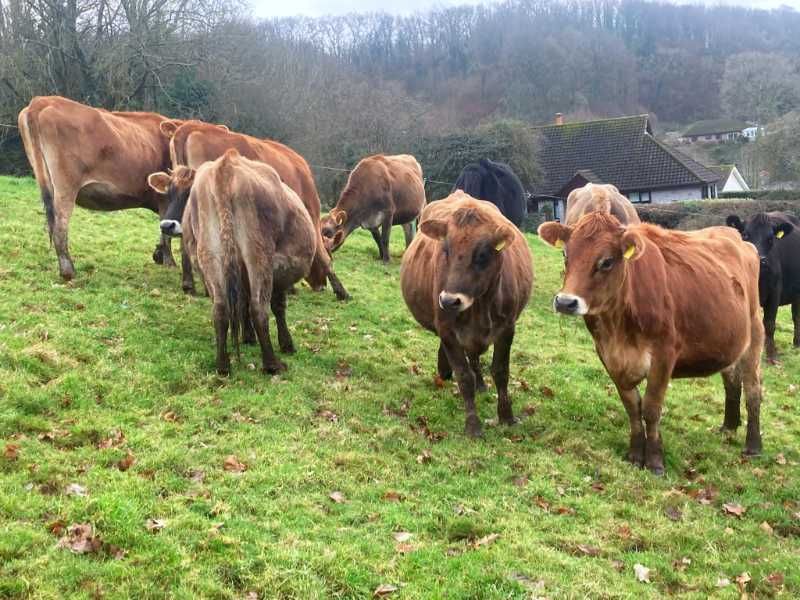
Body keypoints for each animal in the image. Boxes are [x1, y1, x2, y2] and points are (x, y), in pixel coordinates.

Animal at [17, 96, 181, 280]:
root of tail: (42, 100)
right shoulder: (165, 198)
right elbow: (166, 231)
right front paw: (169, 262)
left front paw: (159, 255)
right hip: (66, 186)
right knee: (60, 227)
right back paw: (68, 271)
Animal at [151, 150, 315, 375]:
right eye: (168, 192)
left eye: (186, 193)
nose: (167, 225)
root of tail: (225, 166)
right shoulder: (279, 268)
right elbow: (276, 305)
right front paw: (286, 344)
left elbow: (240, 304)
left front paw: (248, 337)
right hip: (259, 255)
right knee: (258, 307)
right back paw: (272, 364)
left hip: (210, 253)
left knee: (220, 308)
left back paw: (223, 365)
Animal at [401, 191, 534, 437]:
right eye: (445, 250)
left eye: (482, 255)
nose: (449, 300)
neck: (480, 307)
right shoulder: (447, 330)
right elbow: (464, 377)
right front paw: (473, 425)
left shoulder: (507, 328)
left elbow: (501, 371)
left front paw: (506, 416)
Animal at [538, 213, 763, 475]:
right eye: (566, 254)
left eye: (607, 261)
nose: (565, 302)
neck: (618, 329)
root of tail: (738, 238)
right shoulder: (608, 357)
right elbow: (632, 408)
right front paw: (636, 454)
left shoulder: (664, 355)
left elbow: (651, 408)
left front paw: (655, 461)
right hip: (728, 343)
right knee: (732, 382)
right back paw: (728, 426)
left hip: (754, 338)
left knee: (753, 390)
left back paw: (753, 446)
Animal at [726, 212, 800, 363]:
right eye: (745, 235)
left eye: (771, 239)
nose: (759, 260)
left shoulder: (775, 292)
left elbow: (770, 323)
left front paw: (771, 355)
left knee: (796, 316)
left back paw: (797, 343)